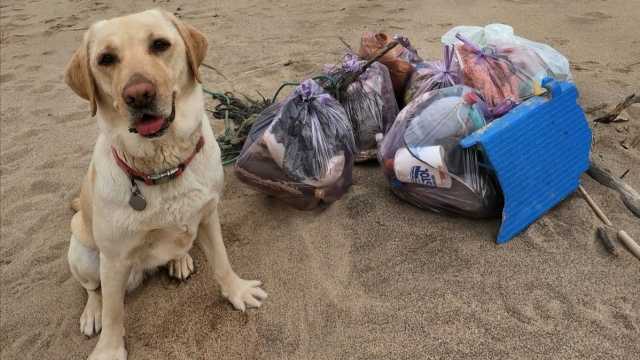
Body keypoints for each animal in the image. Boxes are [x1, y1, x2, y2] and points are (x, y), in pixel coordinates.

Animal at [64, 8, 264, 360]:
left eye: (160, 44)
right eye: (105, 59)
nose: (138, 94)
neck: (163, 167)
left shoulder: (208, 216)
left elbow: (222, 261)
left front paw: (237, 290)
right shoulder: (112, 259)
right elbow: (114, 312)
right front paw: (109, 349)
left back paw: (179, 259)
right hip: (83, 255)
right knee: (93, 290)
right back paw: (92, 312)